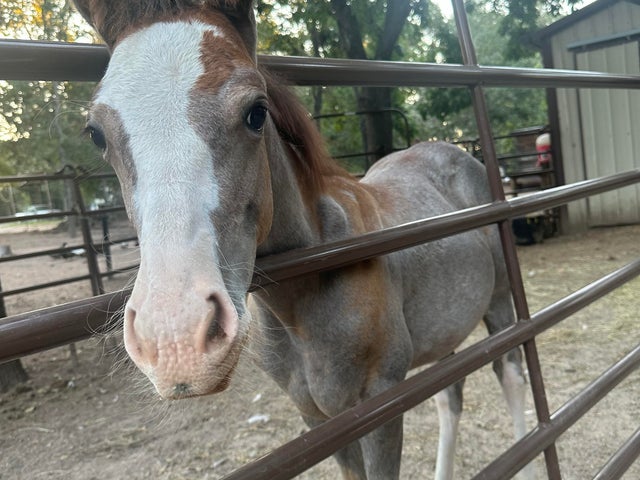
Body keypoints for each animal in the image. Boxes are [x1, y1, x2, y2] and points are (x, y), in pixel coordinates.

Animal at [72, 1, 531, 478]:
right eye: (96, 133)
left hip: (500, 304)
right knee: (449, 396)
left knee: (511, 376)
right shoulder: (317, 415)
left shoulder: (381, 401)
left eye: (256, 112)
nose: (175, 340)